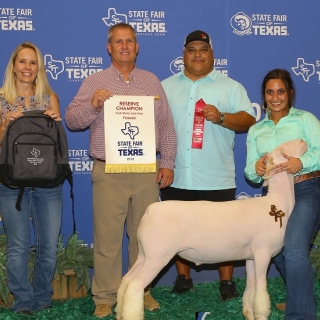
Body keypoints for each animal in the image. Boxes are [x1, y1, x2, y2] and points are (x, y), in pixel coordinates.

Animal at [115, 139, 308, 320]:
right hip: (157, 256)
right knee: (135, 285)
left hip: (145, 254)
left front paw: (248, 313)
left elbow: (251, 288)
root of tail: (149, 211)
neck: (277, 203)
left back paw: (119, 312)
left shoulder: (251, 256)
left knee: (126, 280)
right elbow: (261, 292)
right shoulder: (263, 252)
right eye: (284, 148)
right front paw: (261, 315)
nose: (302, 141)